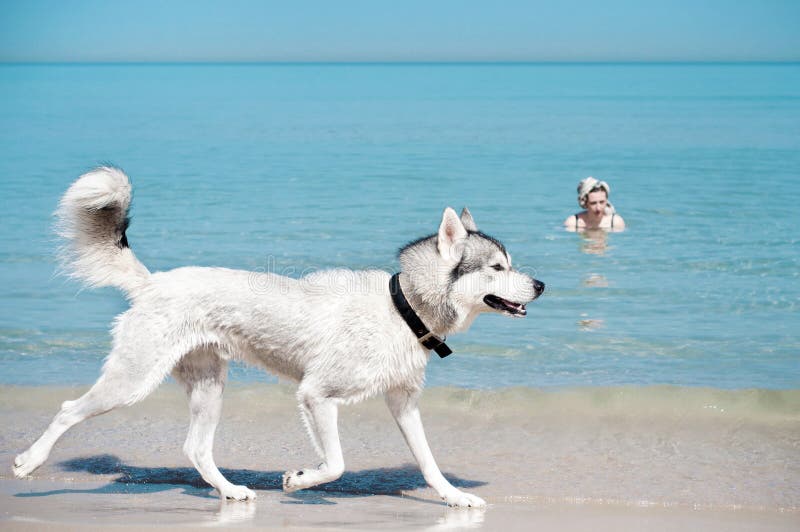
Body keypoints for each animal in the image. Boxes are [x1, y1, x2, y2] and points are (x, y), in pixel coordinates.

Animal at [14, 166, 544, 508]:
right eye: (498, 268)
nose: (541, 285)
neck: (403, 307)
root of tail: (152, 282)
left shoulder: (403, 403)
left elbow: (429, 461)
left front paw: (454, 498)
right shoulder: (316, 395)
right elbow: (336, 463)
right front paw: (299, 479)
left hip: (209, 387)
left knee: (196, 449)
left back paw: (230, 492)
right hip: (133, 380)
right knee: (69, 411)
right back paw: (29, 462)